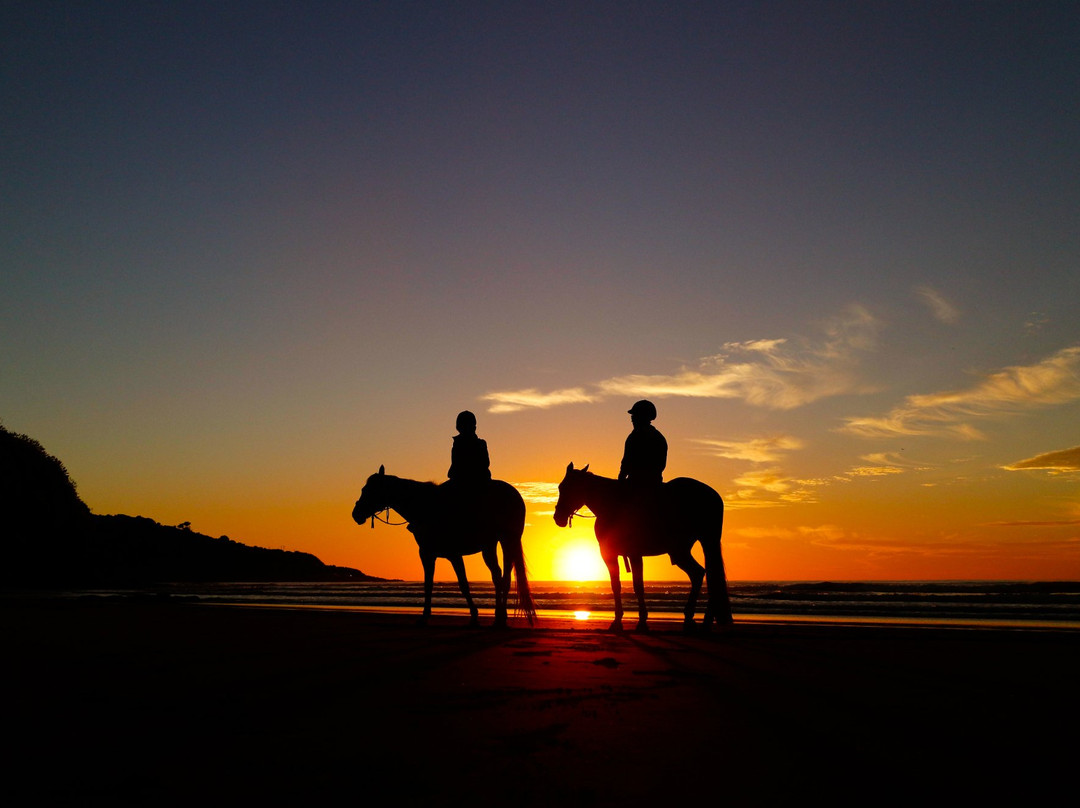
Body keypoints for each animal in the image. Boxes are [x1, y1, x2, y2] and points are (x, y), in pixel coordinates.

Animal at [352, 466, 537, 627]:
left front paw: (474, 615)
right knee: (498, 576)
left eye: (368, 490)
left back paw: (501, 618)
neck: (425, 508)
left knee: (504, 578)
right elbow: (428, 584)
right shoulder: (427, 554)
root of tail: (515, 495)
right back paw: (499, 616)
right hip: (489, 546)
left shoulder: (453, 554)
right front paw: (425, 617)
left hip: (508, 540)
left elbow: (463, 584)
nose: (356, 514)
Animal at [553, 462, 732, 632]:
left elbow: (638, 585)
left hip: (695, 545)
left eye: (567, 487)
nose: (558, 517)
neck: (612, 506)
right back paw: (696, 620)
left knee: (703, 574)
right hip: (682, 550)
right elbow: (616, 585)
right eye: (561, 487)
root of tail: (714, 496)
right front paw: (617, 621)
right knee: (700, 573)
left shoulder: (634, 553)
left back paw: (698, 619)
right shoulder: (609, 553)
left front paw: (642, 622)